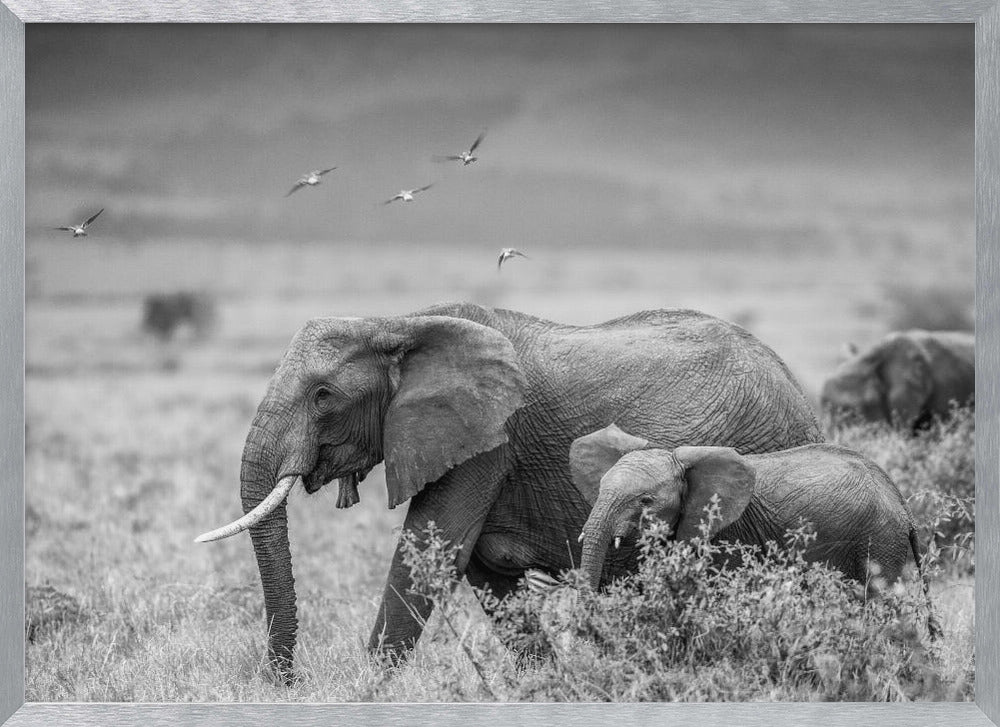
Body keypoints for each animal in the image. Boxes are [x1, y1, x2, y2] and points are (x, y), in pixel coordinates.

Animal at [195, 301, 823, 680]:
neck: (400, 323)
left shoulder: (488, 438)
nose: (283, 680)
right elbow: (485, 567)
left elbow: (432, 549)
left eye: (323, 395)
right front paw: (547, 684)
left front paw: (366, 689)